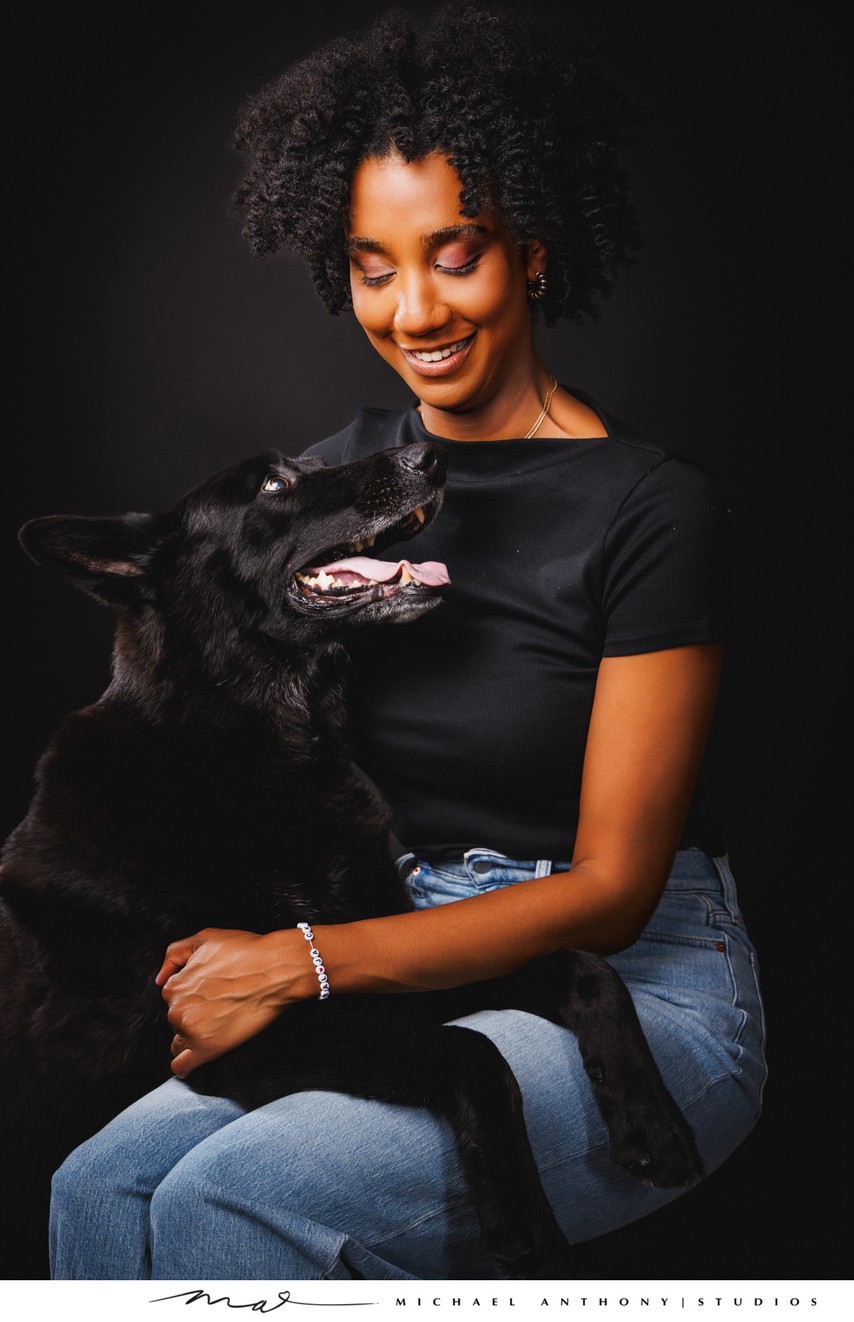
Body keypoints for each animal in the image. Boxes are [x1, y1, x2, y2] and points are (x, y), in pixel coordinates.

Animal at [1, 444, 703, 1279]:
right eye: (276, 482)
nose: (431, 455)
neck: (266, 754)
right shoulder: (234, 1037)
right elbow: (473, 1050)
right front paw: (524, 1225)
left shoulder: (383, 965)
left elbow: (584, 967)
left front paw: (651, 1119)